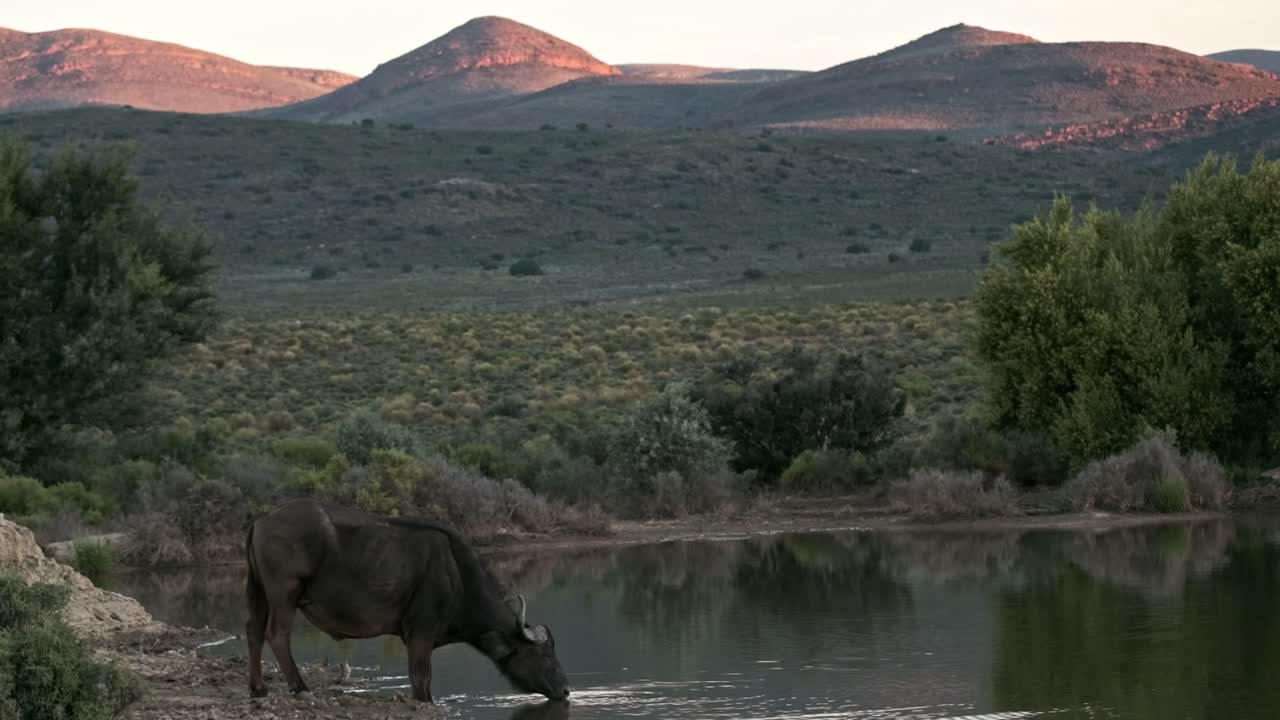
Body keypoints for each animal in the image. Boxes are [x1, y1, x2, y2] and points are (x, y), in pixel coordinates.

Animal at [245, 498, 569, 702]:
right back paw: (300, 688)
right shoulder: (420, 634)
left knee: (254, 632)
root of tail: (262, 519)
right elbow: (421, 679)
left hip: (258, 591)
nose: (566, 691)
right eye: (545, 656)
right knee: (277, 635)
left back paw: (258, 688)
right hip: (284, 593)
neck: (457, 575)